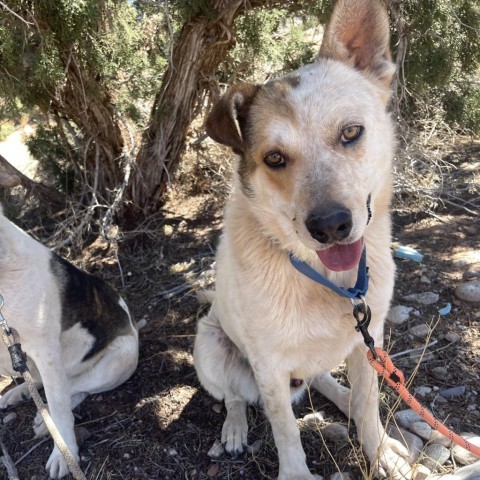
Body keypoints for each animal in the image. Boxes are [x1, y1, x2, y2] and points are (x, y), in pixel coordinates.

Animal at [0, 205, 139, 476]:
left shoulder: (46, 350)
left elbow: (60, 405)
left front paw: (65, 454)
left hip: (122, 357)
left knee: (75, 388)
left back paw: (45, 422)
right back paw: (19, 393)